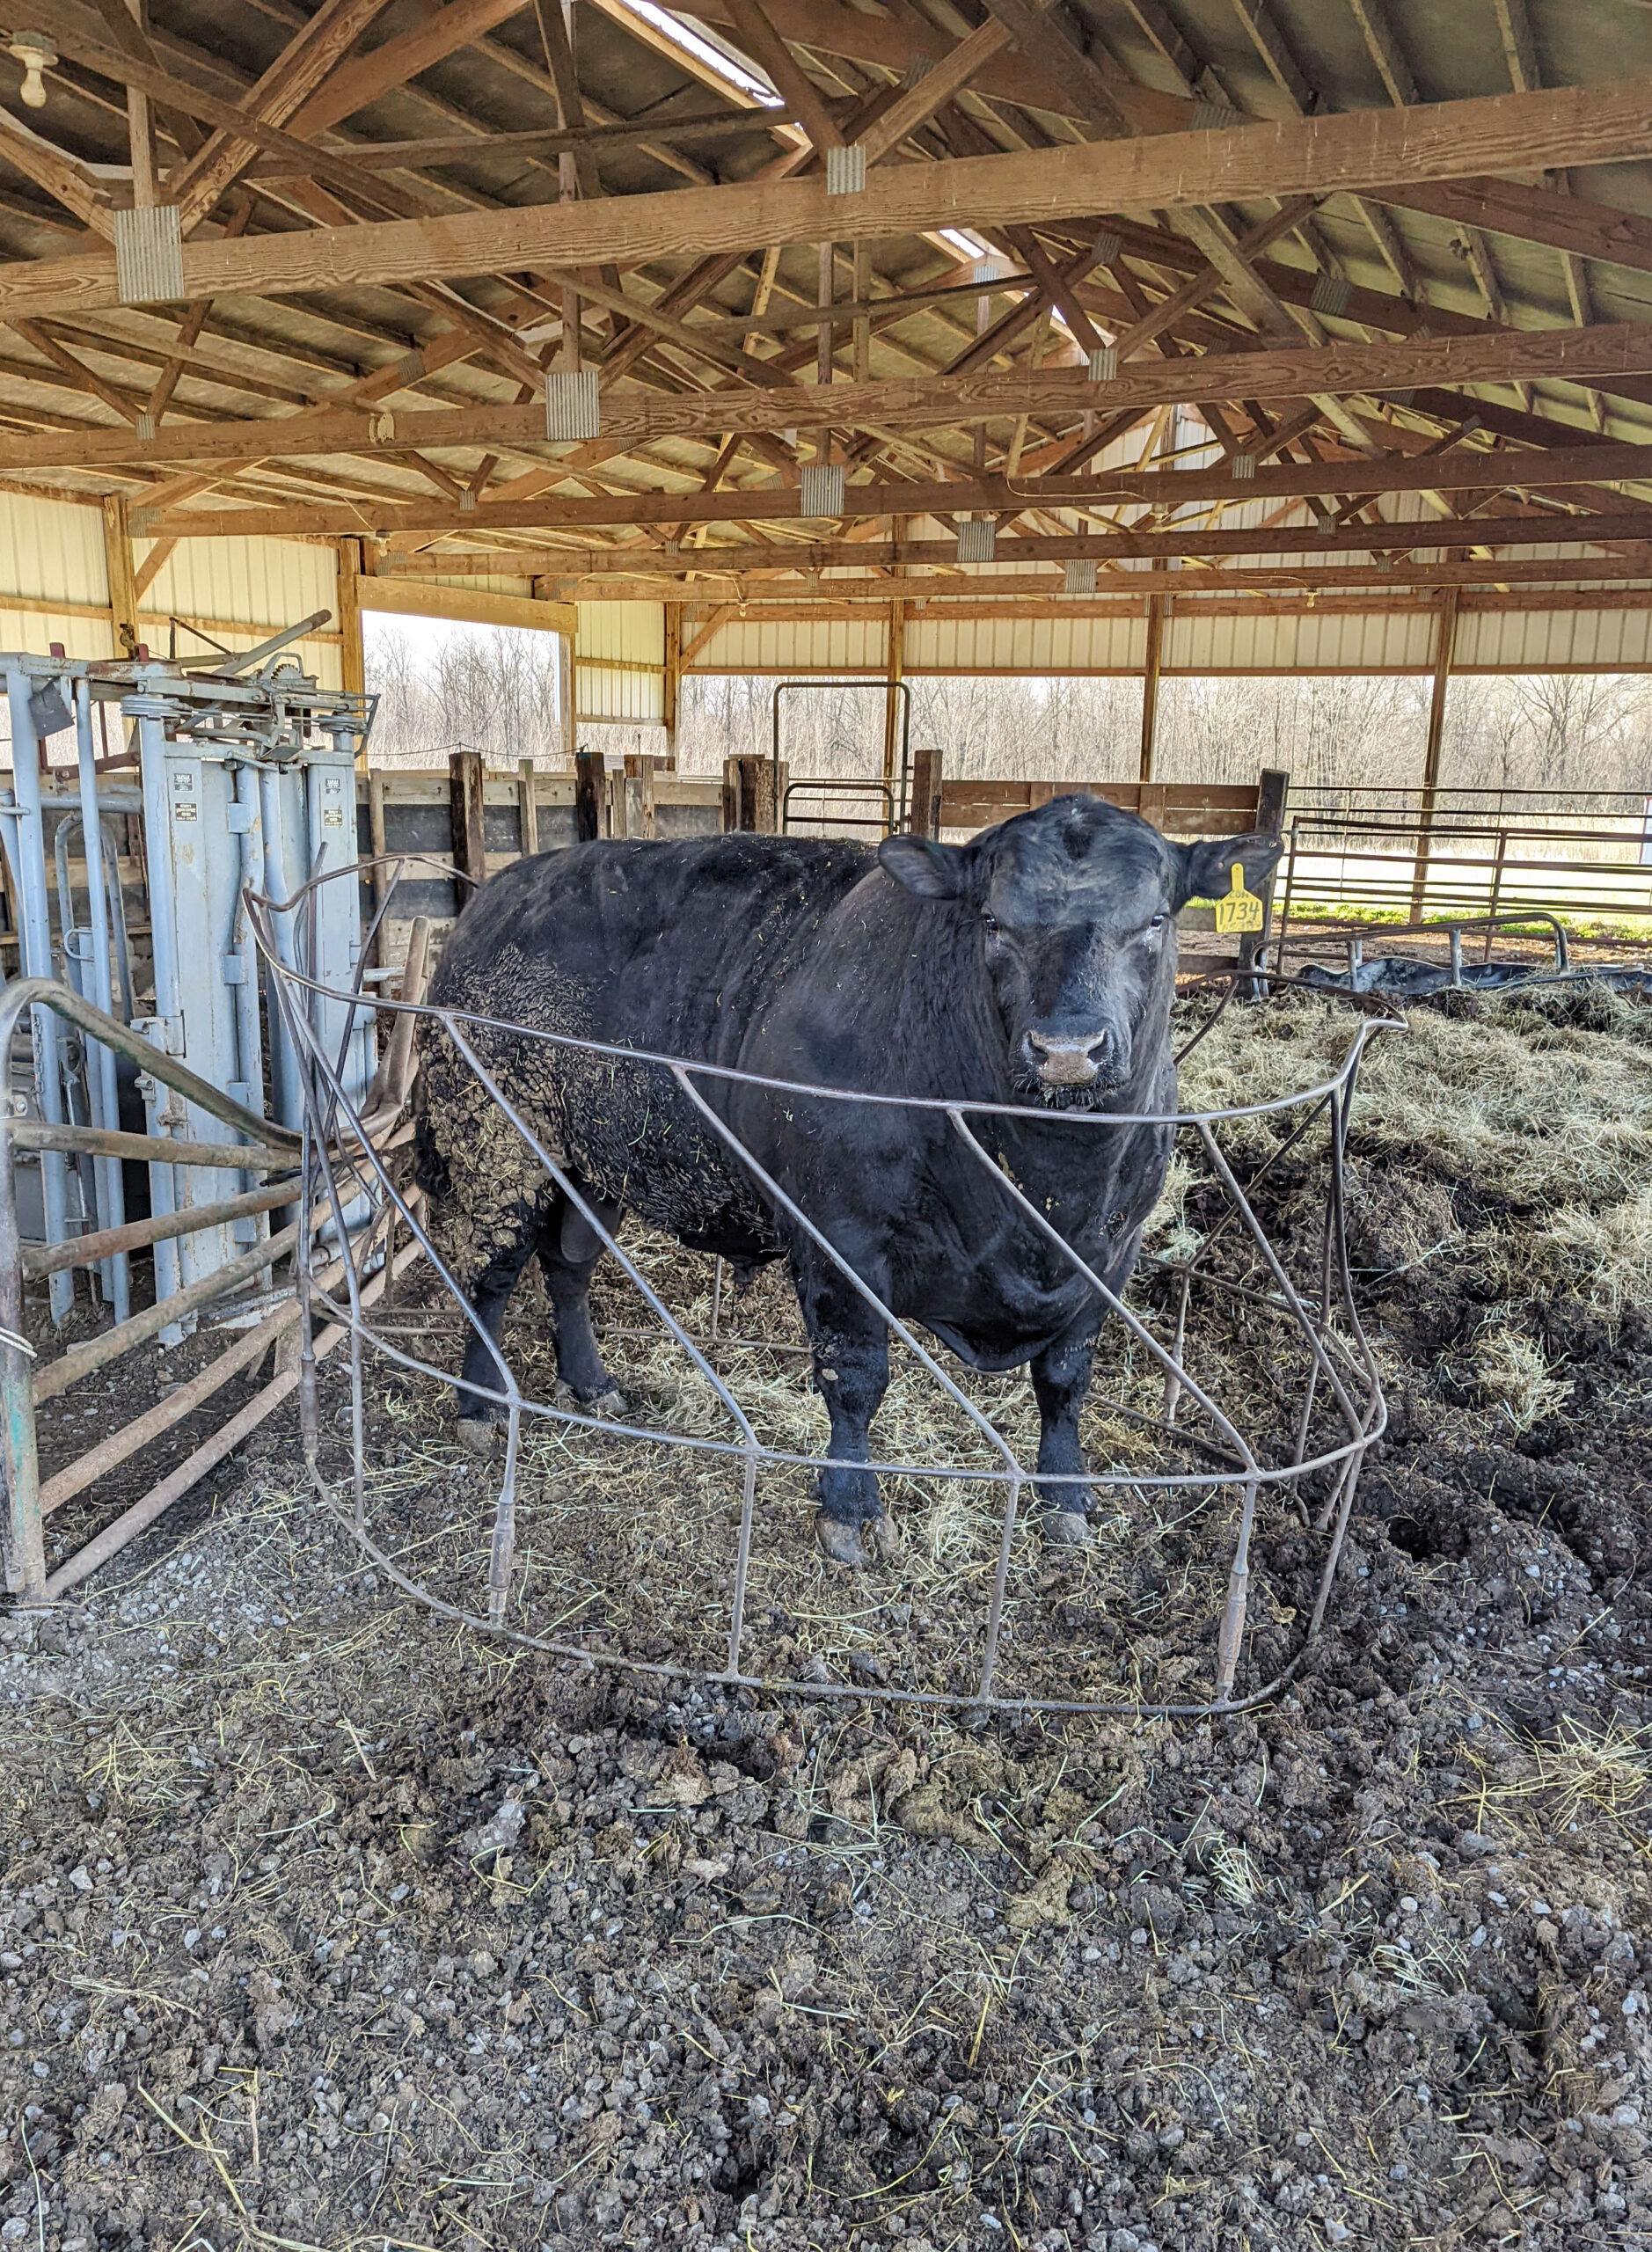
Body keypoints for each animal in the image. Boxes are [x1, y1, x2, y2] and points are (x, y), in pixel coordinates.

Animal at [413, 797, 1278, 1567]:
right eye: (993, 923)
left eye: (1157, 920)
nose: (1068, 1048)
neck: (1045, 1188)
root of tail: (496, 894)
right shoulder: (840, 1240)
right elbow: (856, 1379)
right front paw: (852, 1511)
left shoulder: (1111, 1255)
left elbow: (1066, 1379)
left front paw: (1065, 1497)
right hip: (495, 1145)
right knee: (490, 1272)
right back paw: (480, 1405)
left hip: (591, 1163)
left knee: (568, 1266)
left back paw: (591, 1384)